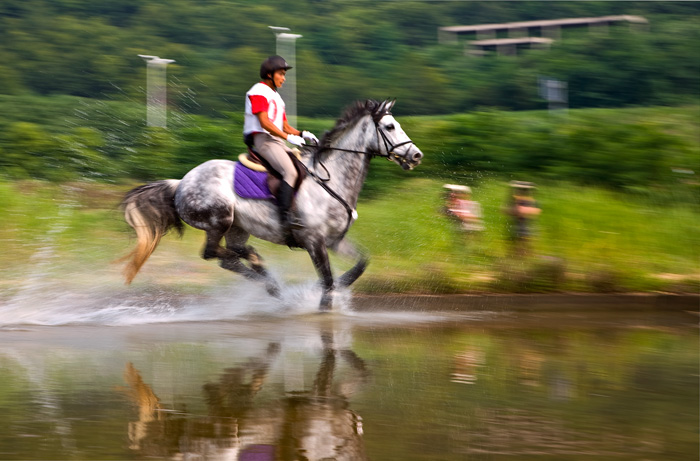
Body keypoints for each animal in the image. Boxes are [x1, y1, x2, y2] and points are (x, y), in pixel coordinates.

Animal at [121, 99, 422, 310]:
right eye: (390, 127)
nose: (416, 155)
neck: (332, 180)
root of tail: (181, 182)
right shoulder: (314, 242)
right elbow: (326, 279)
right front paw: (324, 304)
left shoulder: (335, 241)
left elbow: (360, 263)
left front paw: (336, 287)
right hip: (219, 219)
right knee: (214, 254)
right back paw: (265, 275)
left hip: (237, 228)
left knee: (231, 255)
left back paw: (268, 279)